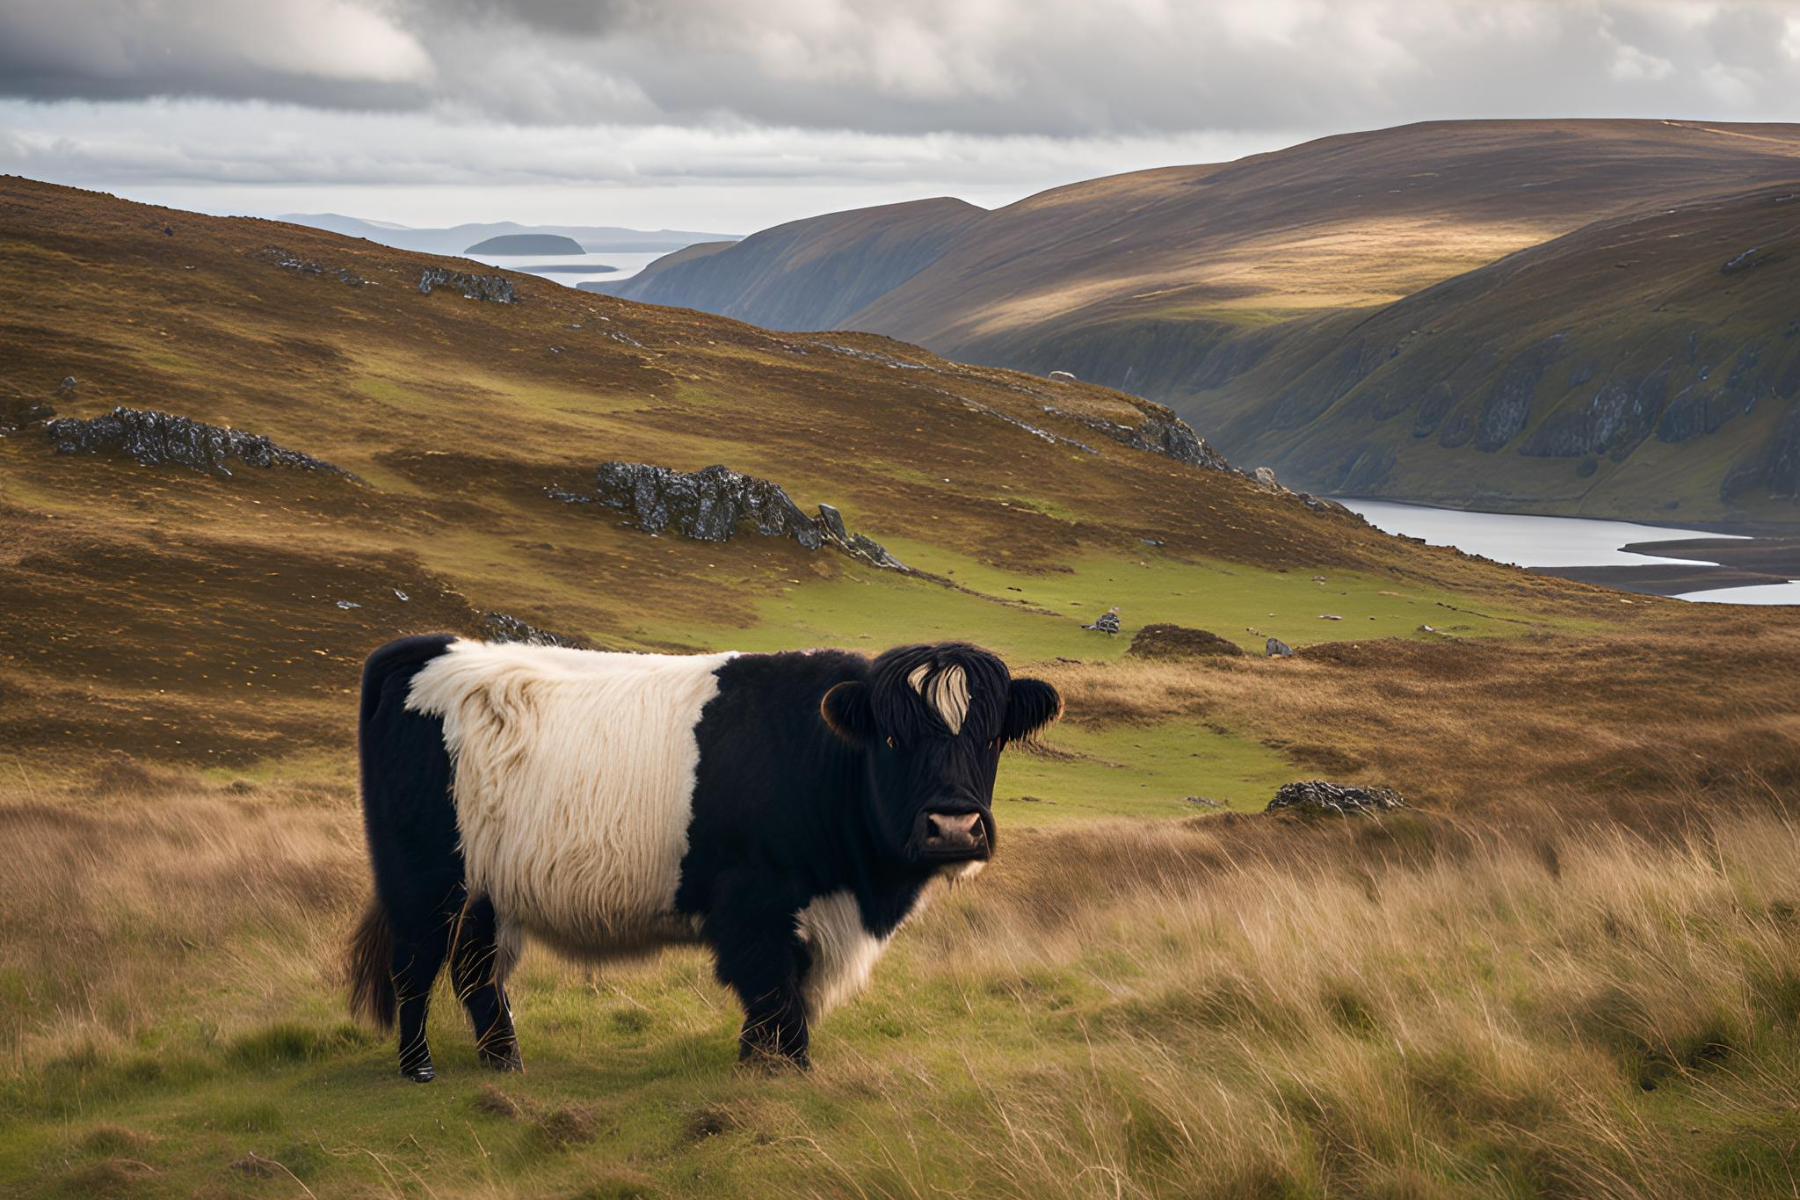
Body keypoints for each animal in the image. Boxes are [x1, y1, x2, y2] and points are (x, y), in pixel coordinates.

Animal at [343, 636, 1058, 1079]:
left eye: (991, 737)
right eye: (892, 737)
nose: (953, 826)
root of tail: (425, 647)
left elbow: (786, 996)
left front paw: (755, 1067)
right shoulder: (754, 907)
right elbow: (775, 994)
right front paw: (788, 1071)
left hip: (489, 893)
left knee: (477, 973)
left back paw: (504, 1063)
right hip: (424, 880)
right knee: (415, 965)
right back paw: (418, 1067)